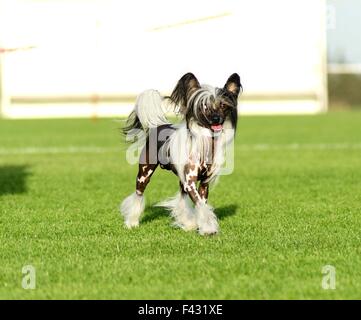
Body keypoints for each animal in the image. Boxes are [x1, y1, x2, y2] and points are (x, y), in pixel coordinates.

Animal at [120, 73, 242, 235]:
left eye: (223, 105)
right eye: (204, 106)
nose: (216, 119)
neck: (206, 143)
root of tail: (158, 125)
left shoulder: (204, 183)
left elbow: (201, 204)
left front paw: (200, 226)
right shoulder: (190, 182)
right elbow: (201, 205)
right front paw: (208, 229)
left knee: (182, 199)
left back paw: (188, 224)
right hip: (144, 173)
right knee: (138, 195)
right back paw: (132, 222)